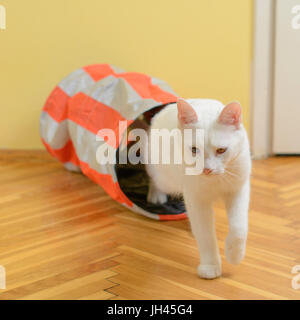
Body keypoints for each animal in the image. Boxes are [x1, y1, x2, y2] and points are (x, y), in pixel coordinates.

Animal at [145, 99, 251, 278]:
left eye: (221, 150)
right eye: (194, 150)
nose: (207, 169)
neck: (215, 180)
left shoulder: (238, 189)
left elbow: (239, 228)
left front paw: (234, 255)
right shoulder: (196, 200)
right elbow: (205, 234)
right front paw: (210, 266)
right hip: (164, 177)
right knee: (154, 176)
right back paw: (156, 195)